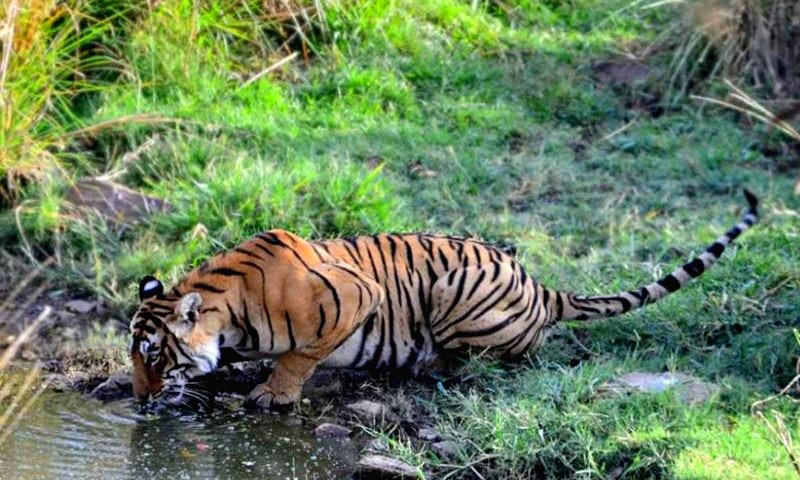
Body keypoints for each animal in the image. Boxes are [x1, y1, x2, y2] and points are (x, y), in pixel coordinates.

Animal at [130, 191, 759, 410]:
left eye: (155, 355)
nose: (140, 398)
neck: (227, 314)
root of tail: (541, 286)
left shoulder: (355, 296)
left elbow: (299, 354)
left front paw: (272, 392)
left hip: (452, 291)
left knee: (510, 357)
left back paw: (435, 367)